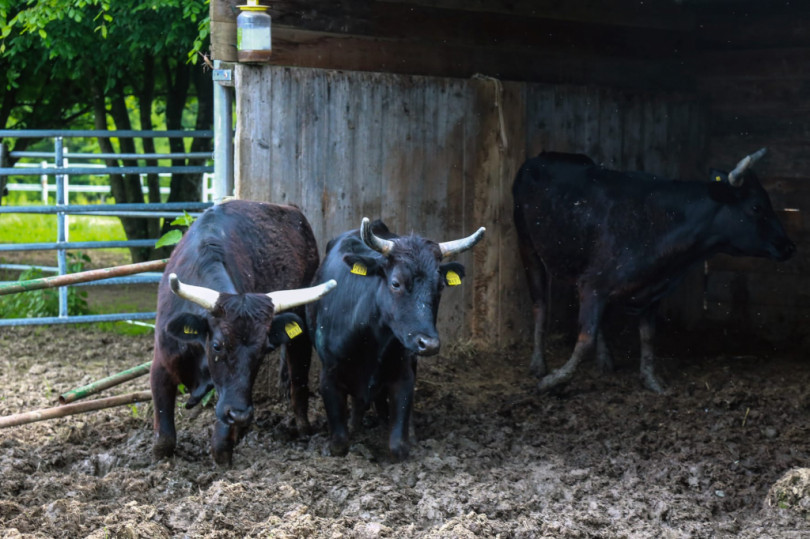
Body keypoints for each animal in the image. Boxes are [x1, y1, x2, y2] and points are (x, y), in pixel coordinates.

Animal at [151, 200, 334, 466]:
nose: (240, 415)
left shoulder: (233, 395)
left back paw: (302, 427)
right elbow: (164, 438)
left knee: (298, 377)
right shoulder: (162, 363)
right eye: (217, 345)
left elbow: (221, 440)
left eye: (263, 350)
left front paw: (225, 448)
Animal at [308, 217, 486, 462]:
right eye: (396, 283)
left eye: (440, 286)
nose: (429, 344)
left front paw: (404, 438)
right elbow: (340, 443)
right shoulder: (328, 376)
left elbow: (398, 445)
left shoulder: (403, 375)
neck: (370, 341)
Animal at [516, 150, 792, 394]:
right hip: (528, 246)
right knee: (540, 305)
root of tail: (544, 156)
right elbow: (585, 340)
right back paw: (538, 364)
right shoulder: (594, 285)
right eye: (756, 207)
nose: (789, 246)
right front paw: (553, 381)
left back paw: (605, 360)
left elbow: (648, 337)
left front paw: (651, 381)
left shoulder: (648, 290)